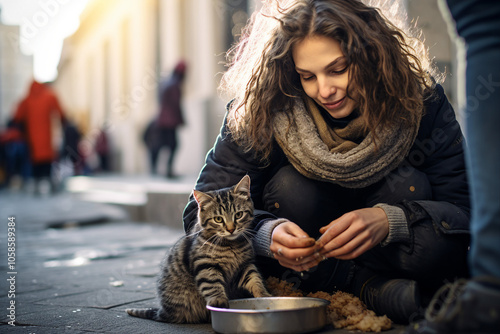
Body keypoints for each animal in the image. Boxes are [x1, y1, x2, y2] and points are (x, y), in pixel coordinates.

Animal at [127, 176, 272, 322]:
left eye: (238, 215)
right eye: (218, 219)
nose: (231, 229)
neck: (230, 245)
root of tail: (162, 312)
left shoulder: (244, 266)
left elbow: (255, 279)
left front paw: (264, 295)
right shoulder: (206, 264)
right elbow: (212, 285)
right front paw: (219, 301)